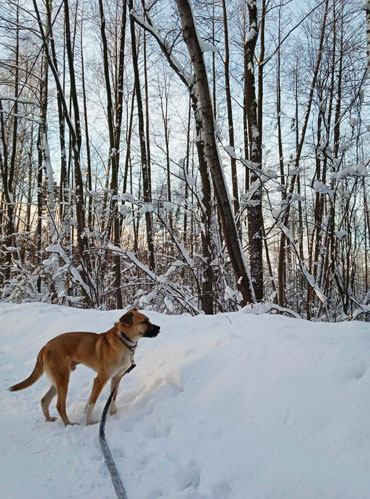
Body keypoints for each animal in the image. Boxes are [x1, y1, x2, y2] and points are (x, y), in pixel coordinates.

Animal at [7, 308, 160, 426]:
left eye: (148, 319)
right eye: (144, 321)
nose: (159, 327)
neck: (123, 340)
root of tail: (46, 346)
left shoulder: (117, 377)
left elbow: (112, 397)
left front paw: (112, 413)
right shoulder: (100, 379)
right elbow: (92, 401)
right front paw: (90, 421)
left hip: (58, 380)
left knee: (44, 400)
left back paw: (49, 419)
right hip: (63, 379)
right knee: (59, 405)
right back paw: (69, 424)